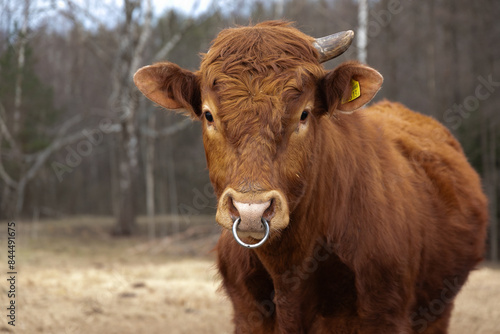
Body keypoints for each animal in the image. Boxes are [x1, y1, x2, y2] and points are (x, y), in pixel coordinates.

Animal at [134, 21, 488, 334]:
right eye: (208, 115)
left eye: (304, 114)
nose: (251, 211)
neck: (289, 268)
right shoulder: (248, 316)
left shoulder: (385, 313)